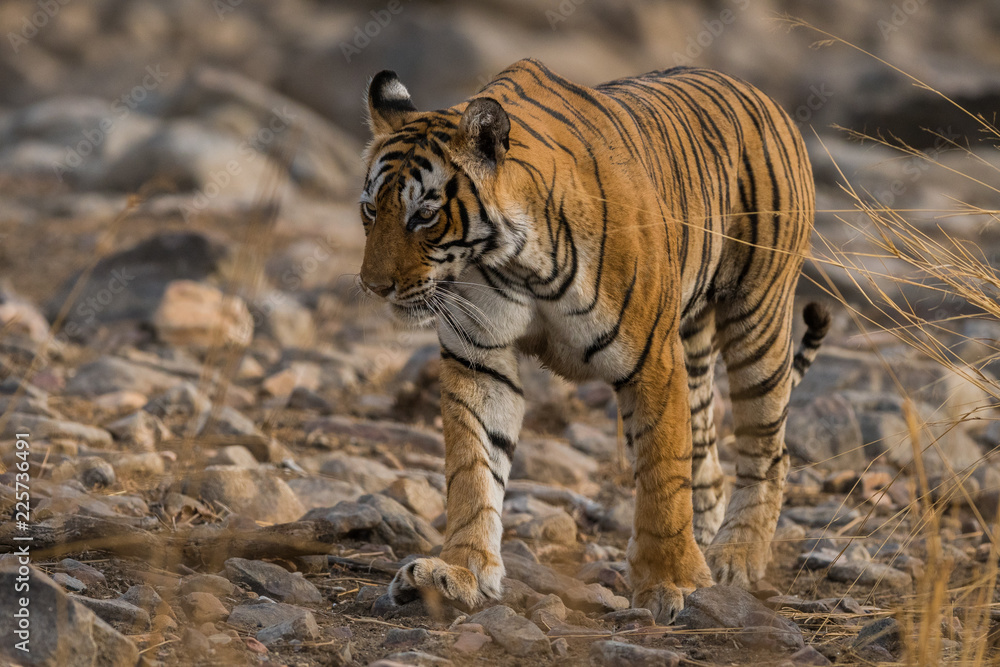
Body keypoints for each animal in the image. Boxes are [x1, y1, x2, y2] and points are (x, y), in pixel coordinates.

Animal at [357, 58, 829, 623]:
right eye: (370, 210)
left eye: (424, 215)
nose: (372, 286)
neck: (515, 259)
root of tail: (761, 95)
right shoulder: (480, 357)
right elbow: (474, 466)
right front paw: (458, 570)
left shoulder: (652, 360)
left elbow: (662, 475)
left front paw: (674, 580)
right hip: (695, 340)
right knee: (707, 453)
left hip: (758, 318)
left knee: (768, 451)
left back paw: (735, 555)